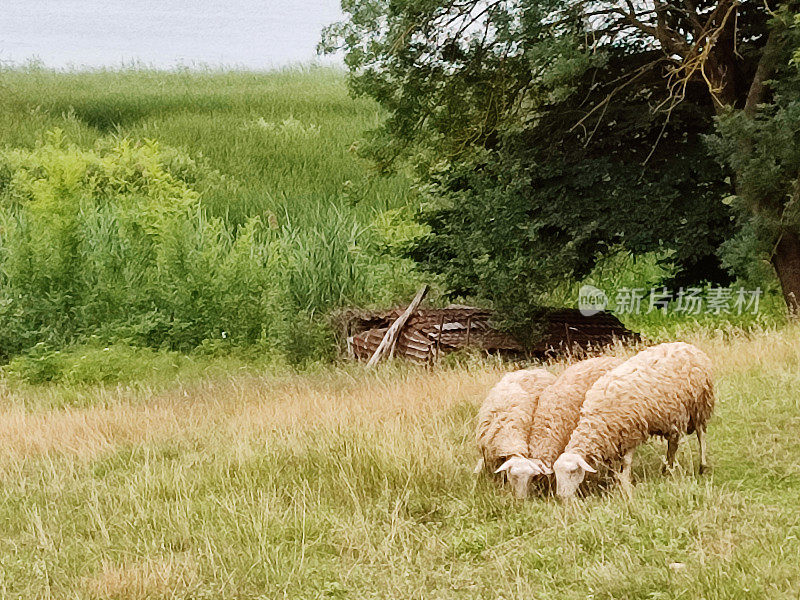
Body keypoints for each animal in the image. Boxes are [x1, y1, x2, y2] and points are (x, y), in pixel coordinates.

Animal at [552, 340, 716, 500]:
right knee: (673, 444)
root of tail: (688, 346)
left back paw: (702, 466)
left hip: (699, 405)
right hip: (672, 415)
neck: (597, 419)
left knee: (701, 435)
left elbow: (626, 462)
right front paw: (614, 480)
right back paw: (667, 468)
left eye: (573, 472)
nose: (561, 496)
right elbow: (613, 464)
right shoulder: (613, 438)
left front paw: (625, 484)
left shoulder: (631, 433)